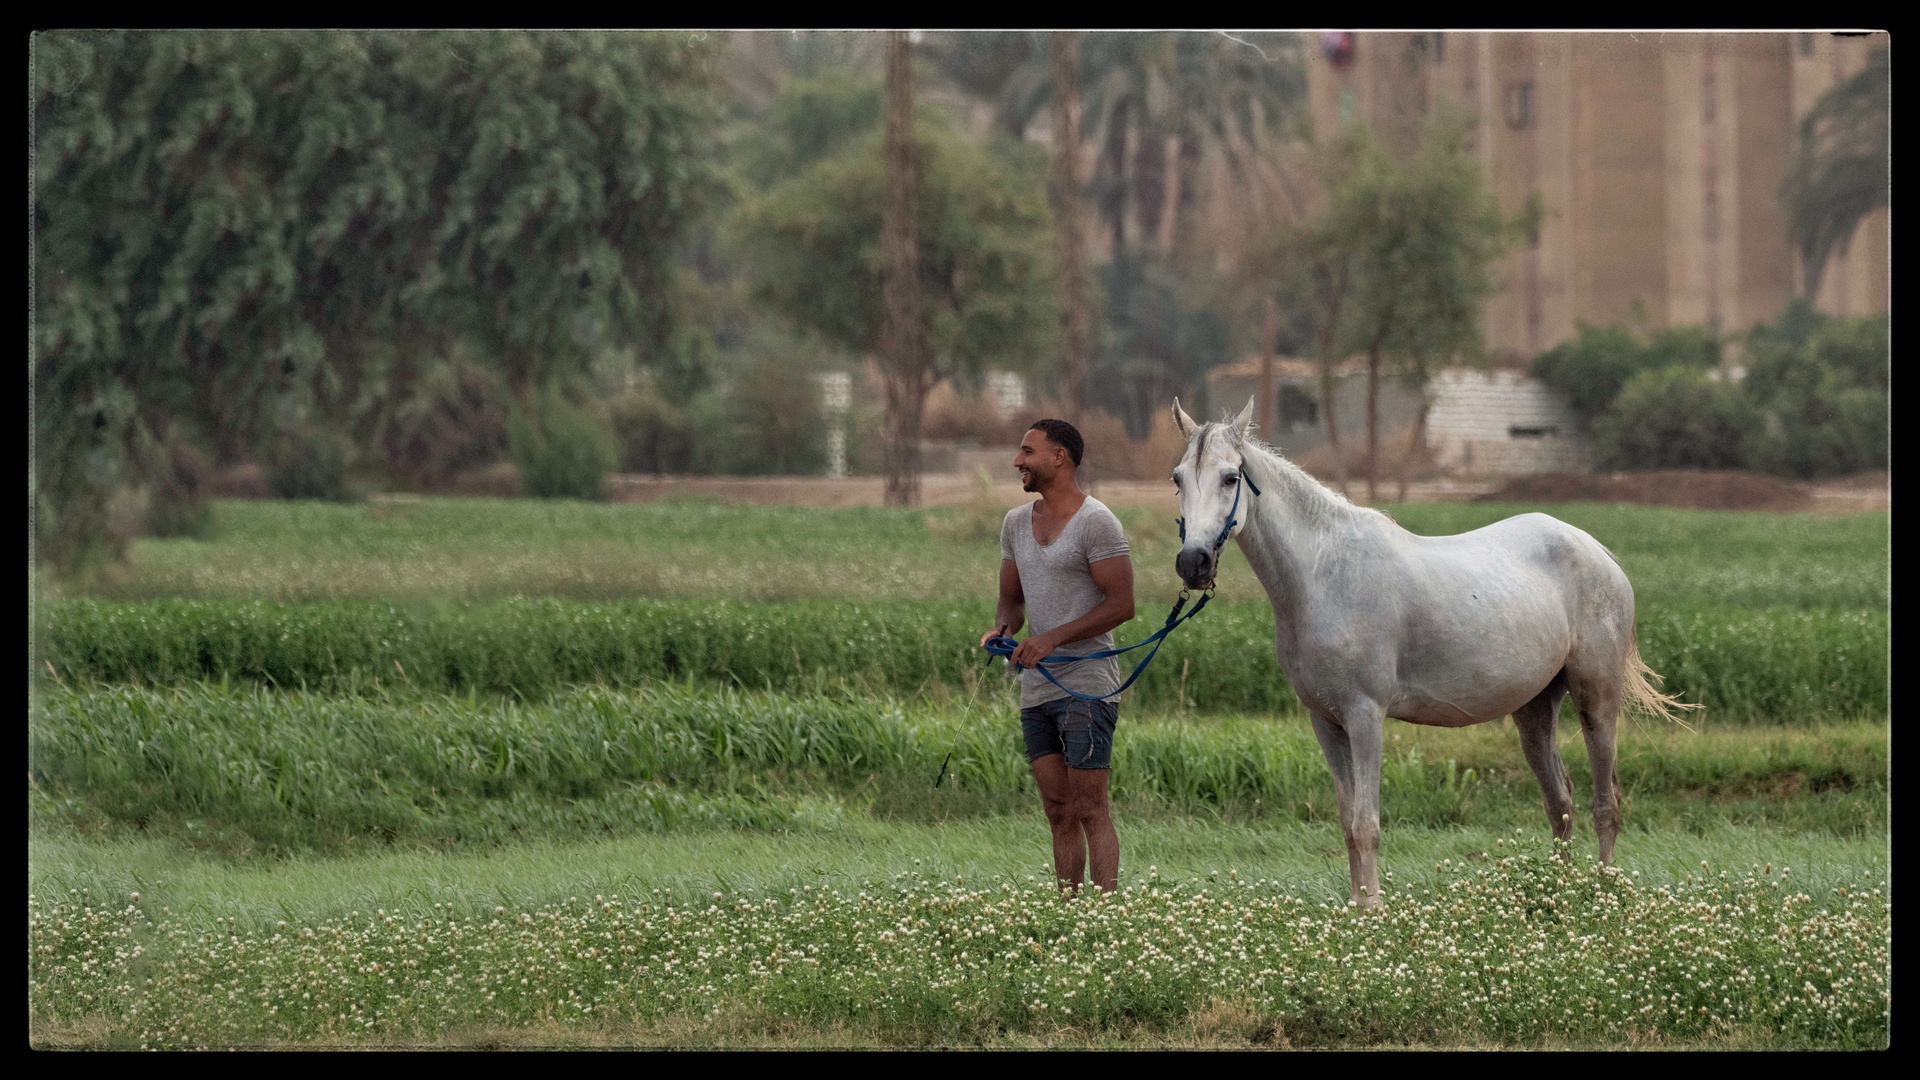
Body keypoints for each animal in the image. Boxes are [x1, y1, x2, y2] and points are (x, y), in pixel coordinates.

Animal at [1167, 395, 1697, 899]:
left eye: (1230, 477)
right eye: (1178, 479)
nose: (1193, 563)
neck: (1323, 575)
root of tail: (1597, 550)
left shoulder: (1365, 716)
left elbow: (1366, 827)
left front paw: (1374, 913)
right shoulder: (1326, 721)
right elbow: (1347, 826)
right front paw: (1358, 911)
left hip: (1597, 698)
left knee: (1605, 803)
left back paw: (1601, 894)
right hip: (1534, 709)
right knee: (1560, 802)